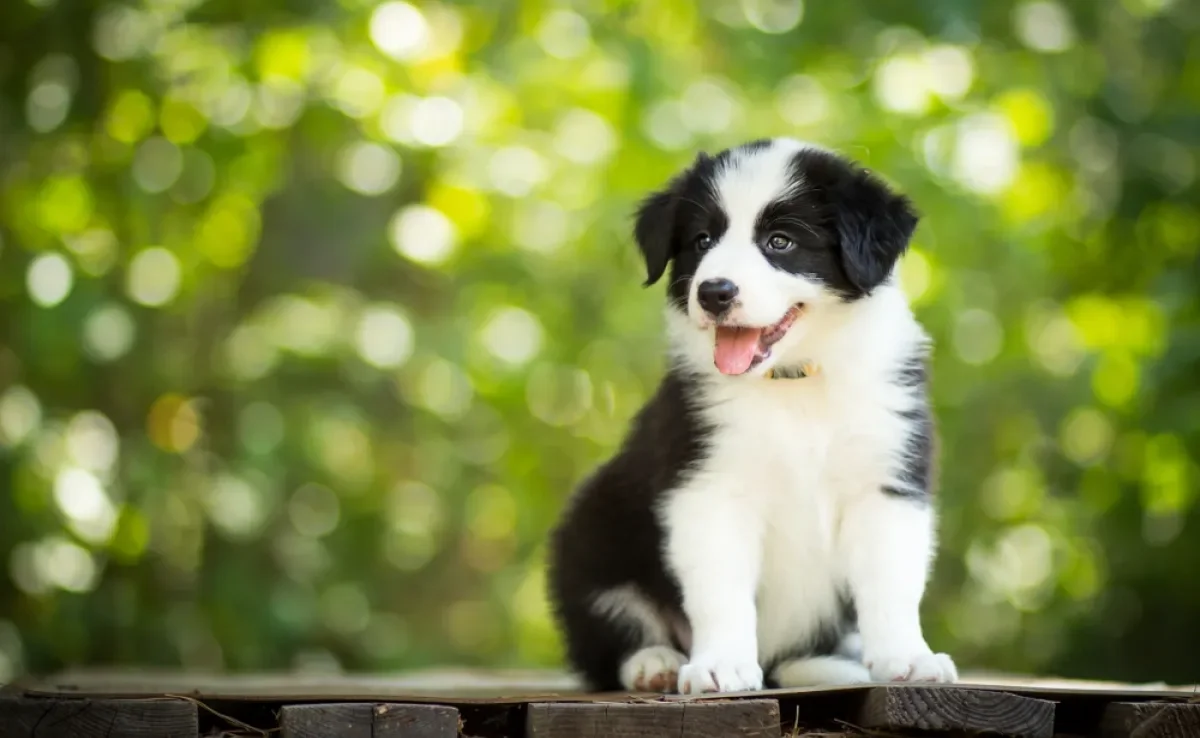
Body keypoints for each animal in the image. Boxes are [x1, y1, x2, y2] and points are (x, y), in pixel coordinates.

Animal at [547, 137, 955, 691]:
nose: (714, 292)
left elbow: (891, 581)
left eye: (780, 242)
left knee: (791, 659)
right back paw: (655, 663)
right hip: (591, 533)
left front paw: (908, 659)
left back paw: (827, 666)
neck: (794, 383)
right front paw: (720, 665)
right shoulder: (708, 485)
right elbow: (720, 591)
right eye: (701, 240)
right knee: (609, 632)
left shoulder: (888, 480)